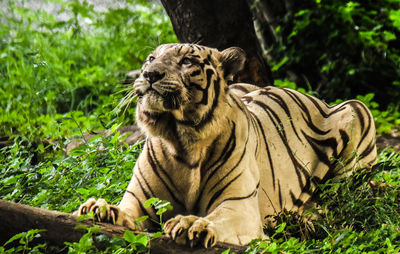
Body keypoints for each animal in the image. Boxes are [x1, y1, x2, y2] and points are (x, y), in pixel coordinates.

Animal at [76, 42, 378, 247]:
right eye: (151, 58)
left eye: (187, 61)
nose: (150, 74)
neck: (180, 139)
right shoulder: (139, 199)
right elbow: (125, 210)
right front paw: (99, 209)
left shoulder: (239, 205)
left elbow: (218, 218)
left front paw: (191, 223)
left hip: (356, 110)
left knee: (338, 201)